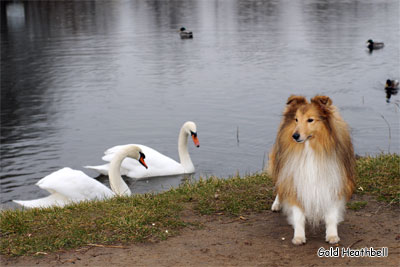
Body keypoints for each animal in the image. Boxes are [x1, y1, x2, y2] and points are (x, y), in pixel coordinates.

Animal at [268, 95, 356, 246]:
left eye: (310, 120)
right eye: (296, 119)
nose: (295, 136)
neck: (310, 149)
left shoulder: (333, 180)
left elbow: (331, 214)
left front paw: (332, 235)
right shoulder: (294, 179)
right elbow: (298, 214)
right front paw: (298, 236)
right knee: (280, 186)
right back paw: (277, 204)